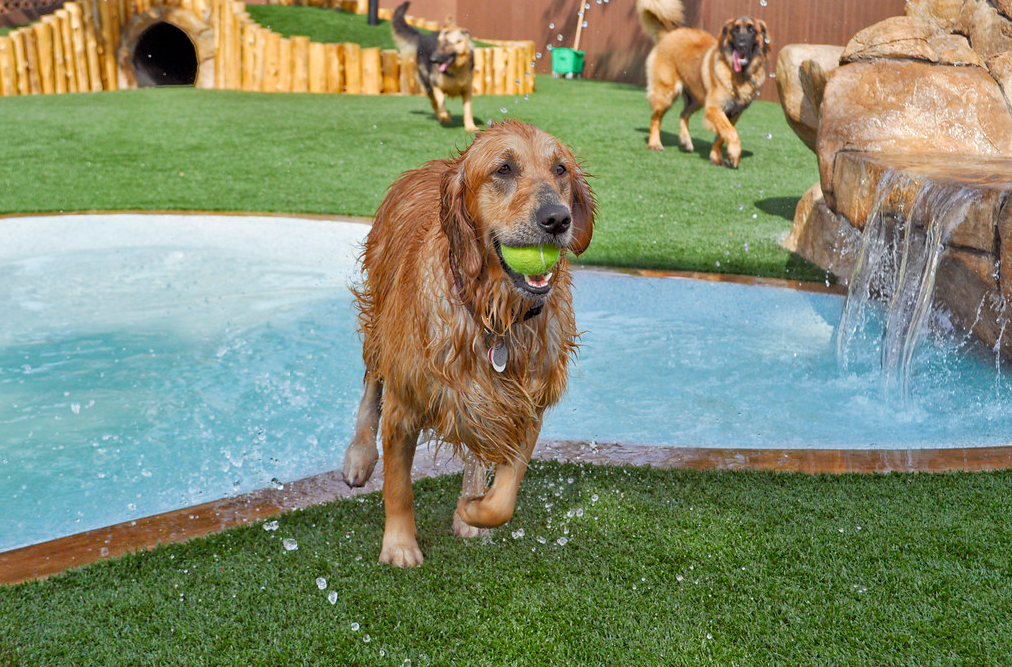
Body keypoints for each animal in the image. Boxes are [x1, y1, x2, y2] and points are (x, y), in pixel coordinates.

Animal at [344, 121, 591, 570]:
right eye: (504, 169)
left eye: (560, 168)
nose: (557, 219)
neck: (496, 317)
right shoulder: (406, 400)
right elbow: (398, 485)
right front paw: (400, 545)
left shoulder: (527, 402)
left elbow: (504, 495)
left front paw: (473, 508)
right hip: (379, 322)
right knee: (372, 380)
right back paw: (358, 455)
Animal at [390, 0, 477, 132]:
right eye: (438, 43)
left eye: (447, 44)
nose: (432, 60)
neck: (455, 69)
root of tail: (422, 36)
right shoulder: (435, 85)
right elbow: (441, 100)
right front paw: (445, 115)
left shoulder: (467, 91)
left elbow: (468, 110)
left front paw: (471, 126)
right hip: (428, 86)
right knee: (434, 103)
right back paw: (442, 117)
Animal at [635, 0, 769, 168]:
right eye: (735, 30)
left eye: (751, 30)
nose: (741, 45)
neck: (739, 75)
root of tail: (668, 34)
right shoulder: (714, 108)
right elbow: (731, 132)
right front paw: (734, 153)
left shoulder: (734, 112)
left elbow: (722, 135)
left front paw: (716, 157)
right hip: (666, 94)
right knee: (655, 117)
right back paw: (654, 143)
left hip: (696, 99)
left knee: (683, 115)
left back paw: (685, 141)